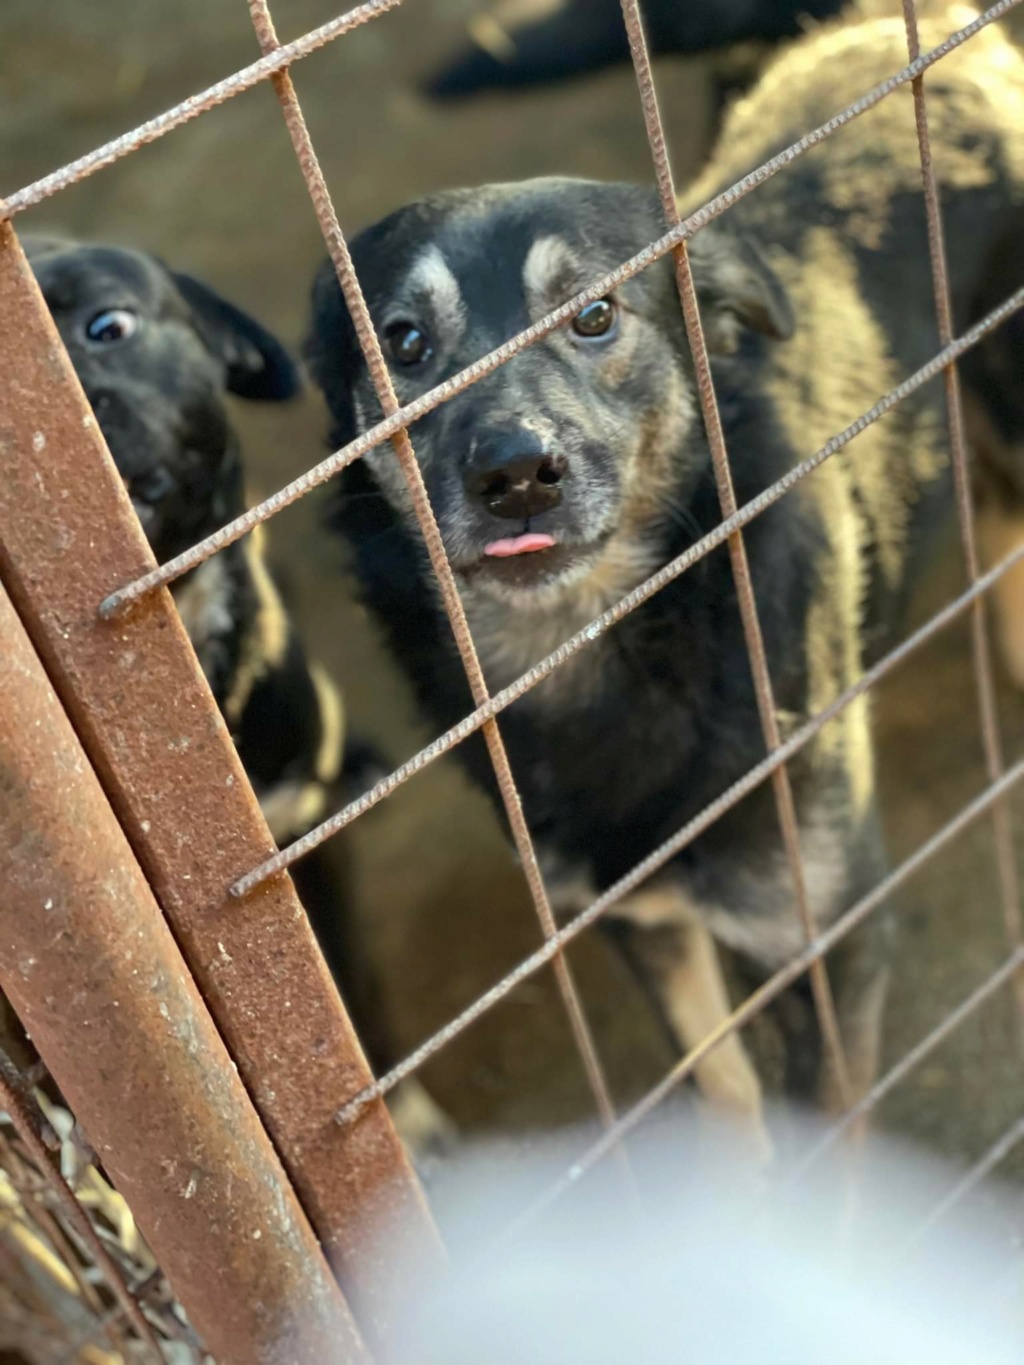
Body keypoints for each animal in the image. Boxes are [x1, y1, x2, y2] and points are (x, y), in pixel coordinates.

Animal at [308, 5, 1024, 1146]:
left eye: (596, 316)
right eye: (403, 343)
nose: (515, 475)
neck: (608, 651)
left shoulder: (825, 940)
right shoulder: (641, 922)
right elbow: (720, 1095)